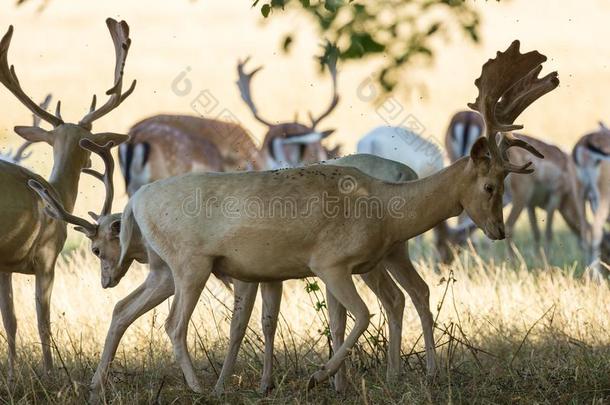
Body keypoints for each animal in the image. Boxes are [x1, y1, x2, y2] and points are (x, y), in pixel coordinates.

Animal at [0, 18, 134, 378]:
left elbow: (10, 321)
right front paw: (48, 371)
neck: (57, 191)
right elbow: (42, 321)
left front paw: (13, 372)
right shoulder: (46, 255)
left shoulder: (5, 265)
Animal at [50, 39, 552, 392]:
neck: (385, 209)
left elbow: (341, 316)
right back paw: (197, 387)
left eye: (505, 182)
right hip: (190, 262)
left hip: (163, 268)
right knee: (173, 323)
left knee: (124, 309)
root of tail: (136, 202)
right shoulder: (329, 261)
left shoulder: (323, 267)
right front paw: (316, 376)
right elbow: (359, 315)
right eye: (490, 185)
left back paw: (99, 383)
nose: (499, 231)